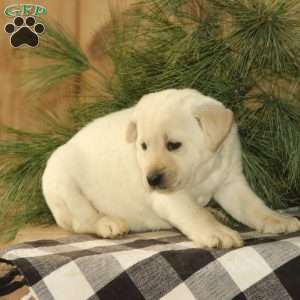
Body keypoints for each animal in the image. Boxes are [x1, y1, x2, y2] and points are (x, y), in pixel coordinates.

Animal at [42, 88, 300, 248]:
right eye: (143, 146)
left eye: (173, 145)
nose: (151, 179)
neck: (200, 172)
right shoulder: (171, 197)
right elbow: (195, 213)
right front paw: (217, 233)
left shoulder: (230, 182)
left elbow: (253, 206)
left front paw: (277, 219)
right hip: (62, 181)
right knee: (82, 219)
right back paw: (107, 223)